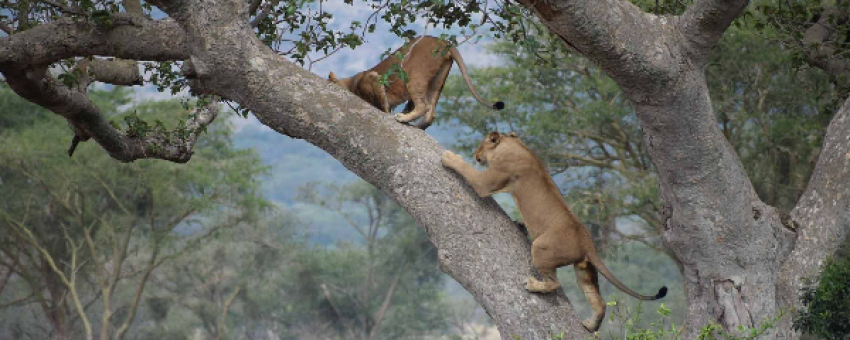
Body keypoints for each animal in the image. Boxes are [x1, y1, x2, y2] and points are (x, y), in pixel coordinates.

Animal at [328, 35, 504, 129]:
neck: (351, 82)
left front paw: (387, 112)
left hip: (414, 76)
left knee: (423, 106)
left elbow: (381, 103)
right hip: (437, 80)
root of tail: (443, 41)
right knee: (430, 113)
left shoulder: (373, 78)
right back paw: (417, 125)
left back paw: (403, 118)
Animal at [440, 131, 664, 332]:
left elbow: (467, 170)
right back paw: (590, 325)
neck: (515, 145)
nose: (475, 155)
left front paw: (449, 156)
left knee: (555, 284)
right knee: (598, 302)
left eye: (481, 145)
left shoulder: (487, 182)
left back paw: (533, 284)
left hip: (541, 248)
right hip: (584, 270)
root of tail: (587, 241)